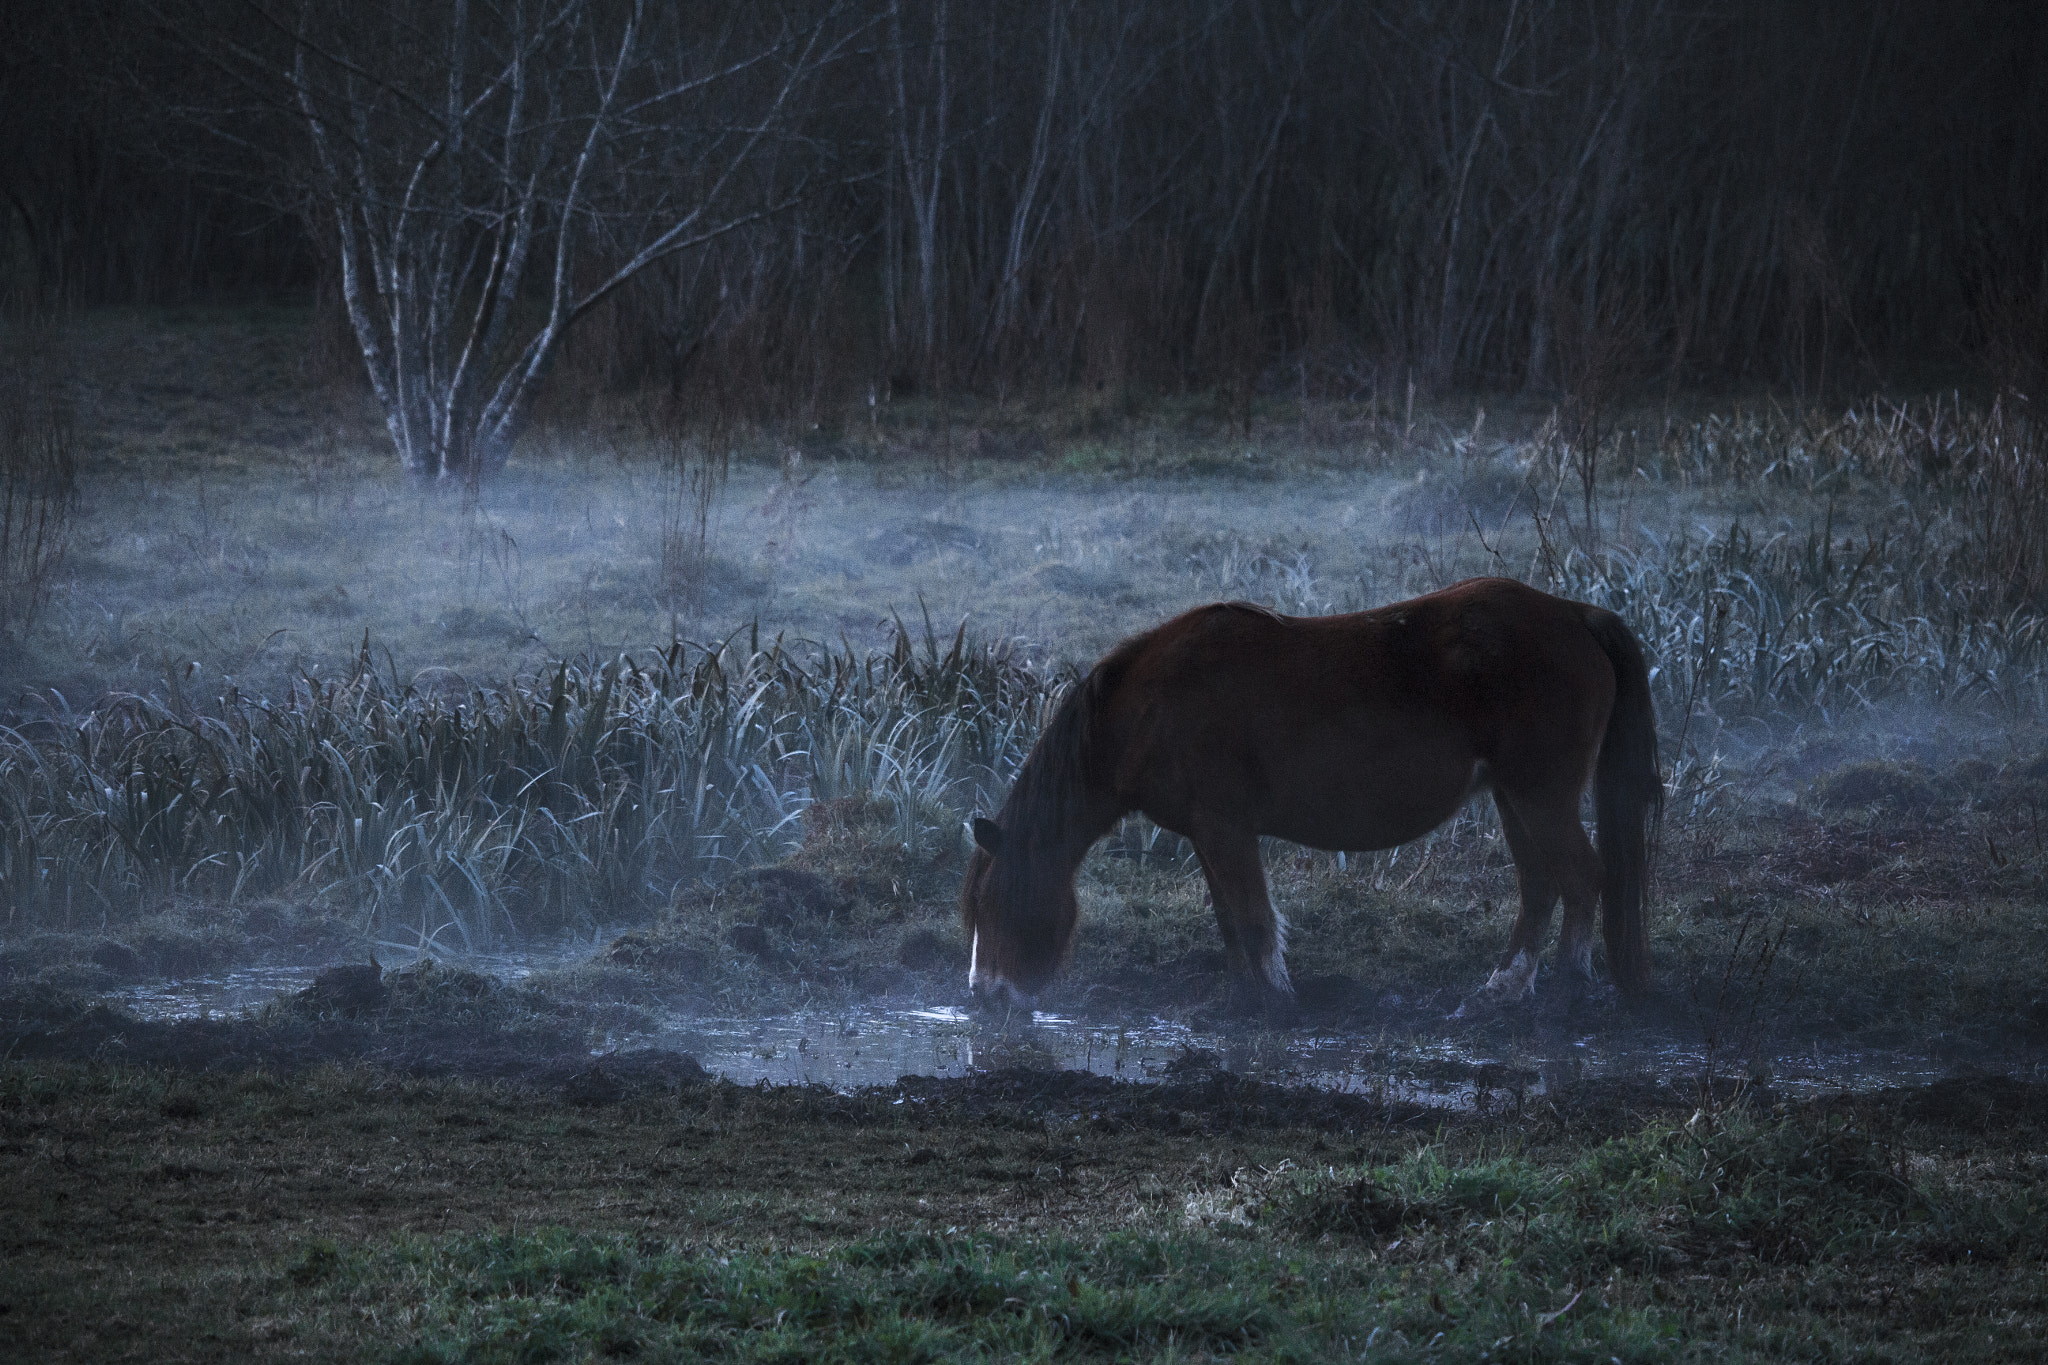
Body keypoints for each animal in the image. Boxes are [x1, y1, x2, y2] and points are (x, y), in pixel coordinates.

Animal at [959, 577, 1662, 1018]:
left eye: (992, 903)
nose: (985, 995)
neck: (1149, 709)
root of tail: (1574, 615)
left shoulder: (1225, 829)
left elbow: (1252, 920)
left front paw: (1277, 1005)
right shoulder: (1209, 835)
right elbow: (1230, 922)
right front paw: (1243, 1004)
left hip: (1540, 796)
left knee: (1582, 877)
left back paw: (1567, 996)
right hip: (1514, 798)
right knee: (1542, 886)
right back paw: (1498, 995)